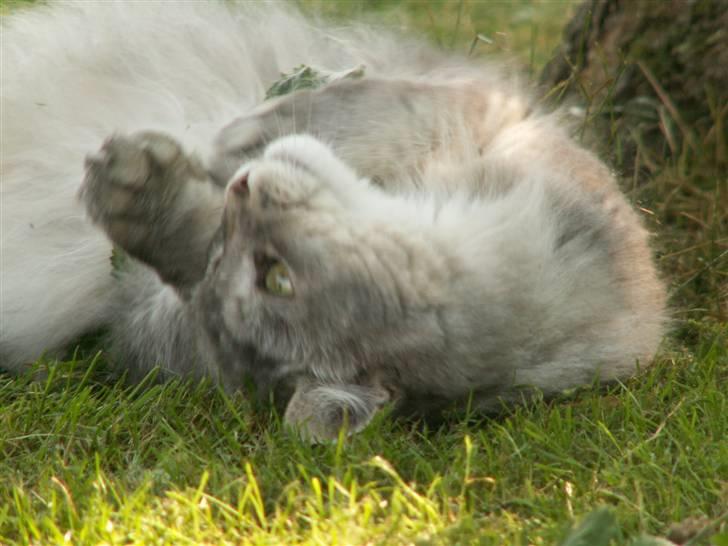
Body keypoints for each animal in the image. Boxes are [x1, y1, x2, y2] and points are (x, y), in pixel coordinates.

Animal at [0, 0, 668, 440]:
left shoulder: (486, 119)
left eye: (274, 276)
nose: (243, 189)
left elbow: (347, 114)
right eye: (232, 256)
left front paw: (218, 147)